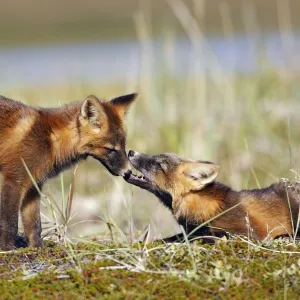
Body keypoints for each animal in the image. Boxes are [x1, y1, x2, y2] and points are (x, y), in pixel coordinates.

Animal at [0, 93, 138, 248]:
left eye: (123, 146)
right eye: (110, 149)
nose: (128, 172)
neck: (52, 140)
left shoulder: (34, 186)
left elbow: (34, 225)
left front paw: (37, 248)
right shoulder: (14, 180)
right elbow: (9, 223)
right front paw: (7, 249)